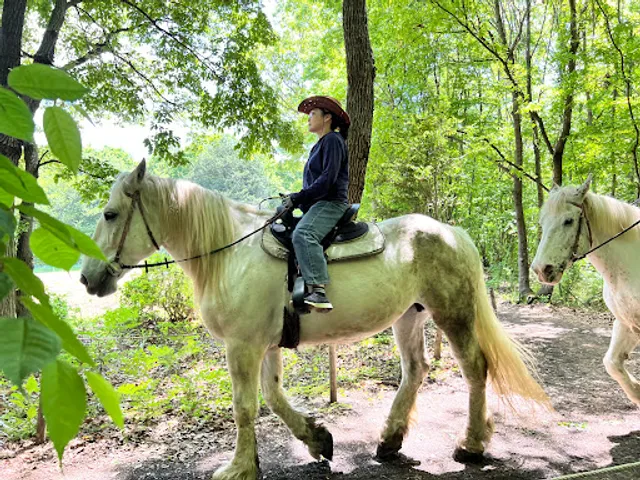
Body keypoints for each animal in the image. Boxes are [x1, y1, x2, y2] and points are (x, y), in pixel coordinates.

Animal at [81, 160, 550, 480]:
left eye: (109, 214)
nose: (87, 277)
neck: (230, 253)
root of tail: (452, 232)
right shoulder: (263, 344)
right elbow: (272, 398)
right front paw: (316, 439)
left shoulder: (243, 346)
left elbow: (245, 406)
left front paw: (238, 467)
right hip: (408, 317)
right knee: (416, 371)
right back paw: (389, 440)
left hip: (452, 313)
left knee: (475, 368)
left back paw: (471, 445)